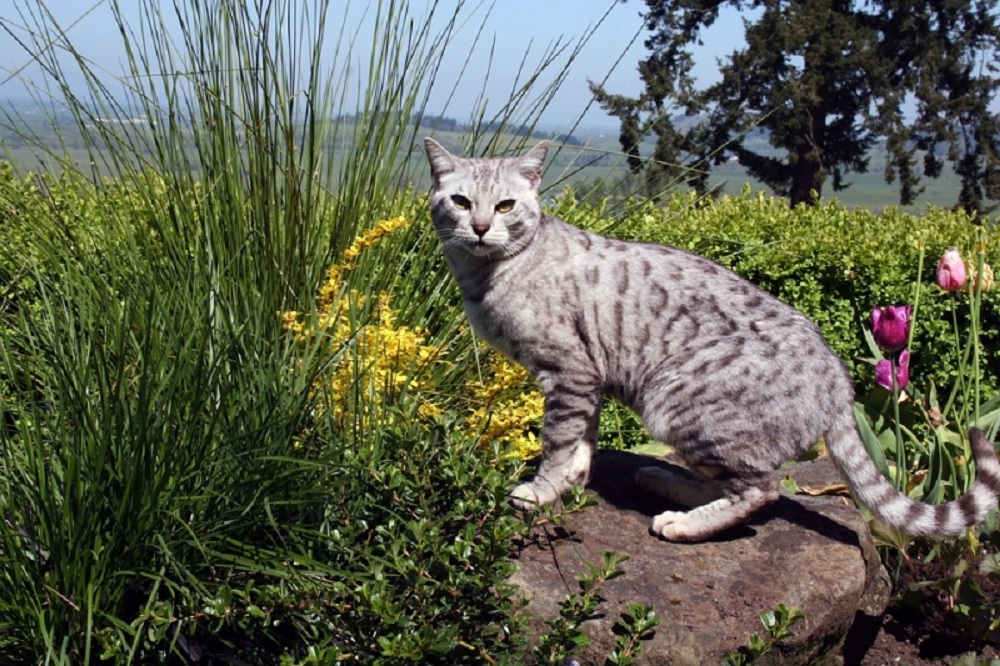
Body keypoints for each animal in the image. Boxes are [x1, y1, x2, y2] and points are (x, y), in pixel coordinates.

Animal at [424, 137, 1000, 544]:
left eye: (504, 206)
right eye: (461, 201)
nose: (479, 227)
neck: (487, 276)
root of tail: (840, 383)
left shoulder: (569, 371)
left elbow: (557, 442)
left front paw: (540, 490)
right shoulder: (586, 378)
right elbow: (581, 444)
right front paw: (569, 484)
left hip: (676, 403)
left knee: (763, 489)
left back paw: (682, 523)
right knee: (732, 480)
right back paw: (666, 483)